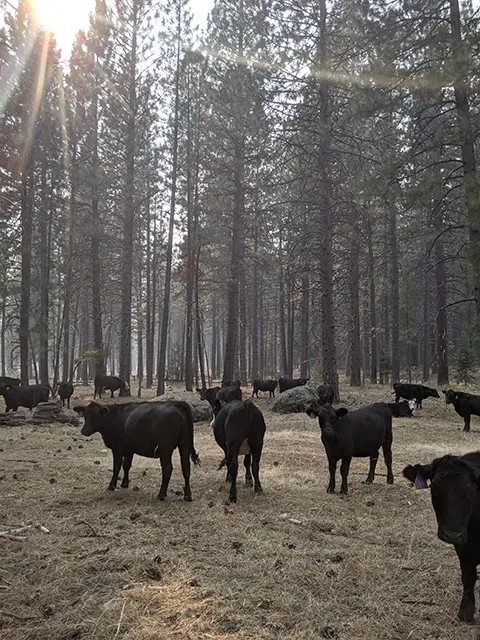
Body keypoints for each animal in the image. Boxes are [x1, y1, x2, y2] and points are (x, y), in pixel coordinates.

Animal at [403, 452, 480, 623]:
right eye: (435, 489)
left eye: (470, 490)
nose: (451, 534)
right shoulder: (464, 546)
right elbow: (468, 576)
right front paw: (466, 611)